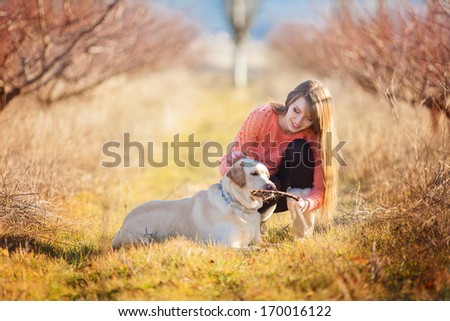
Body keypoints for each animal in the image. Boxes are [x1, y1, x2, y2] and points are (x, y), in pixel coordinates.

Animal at [110, 159, 276, 249]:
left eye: (267, 175)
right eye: (254, 173)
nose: (272, 186)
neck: (239, 206)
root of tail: (122, 226)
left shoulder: (258, 240)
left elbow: (270, 245)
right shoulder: (227, 244)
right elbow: (251, 248)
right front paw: (259, 250)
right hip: (144, 238)